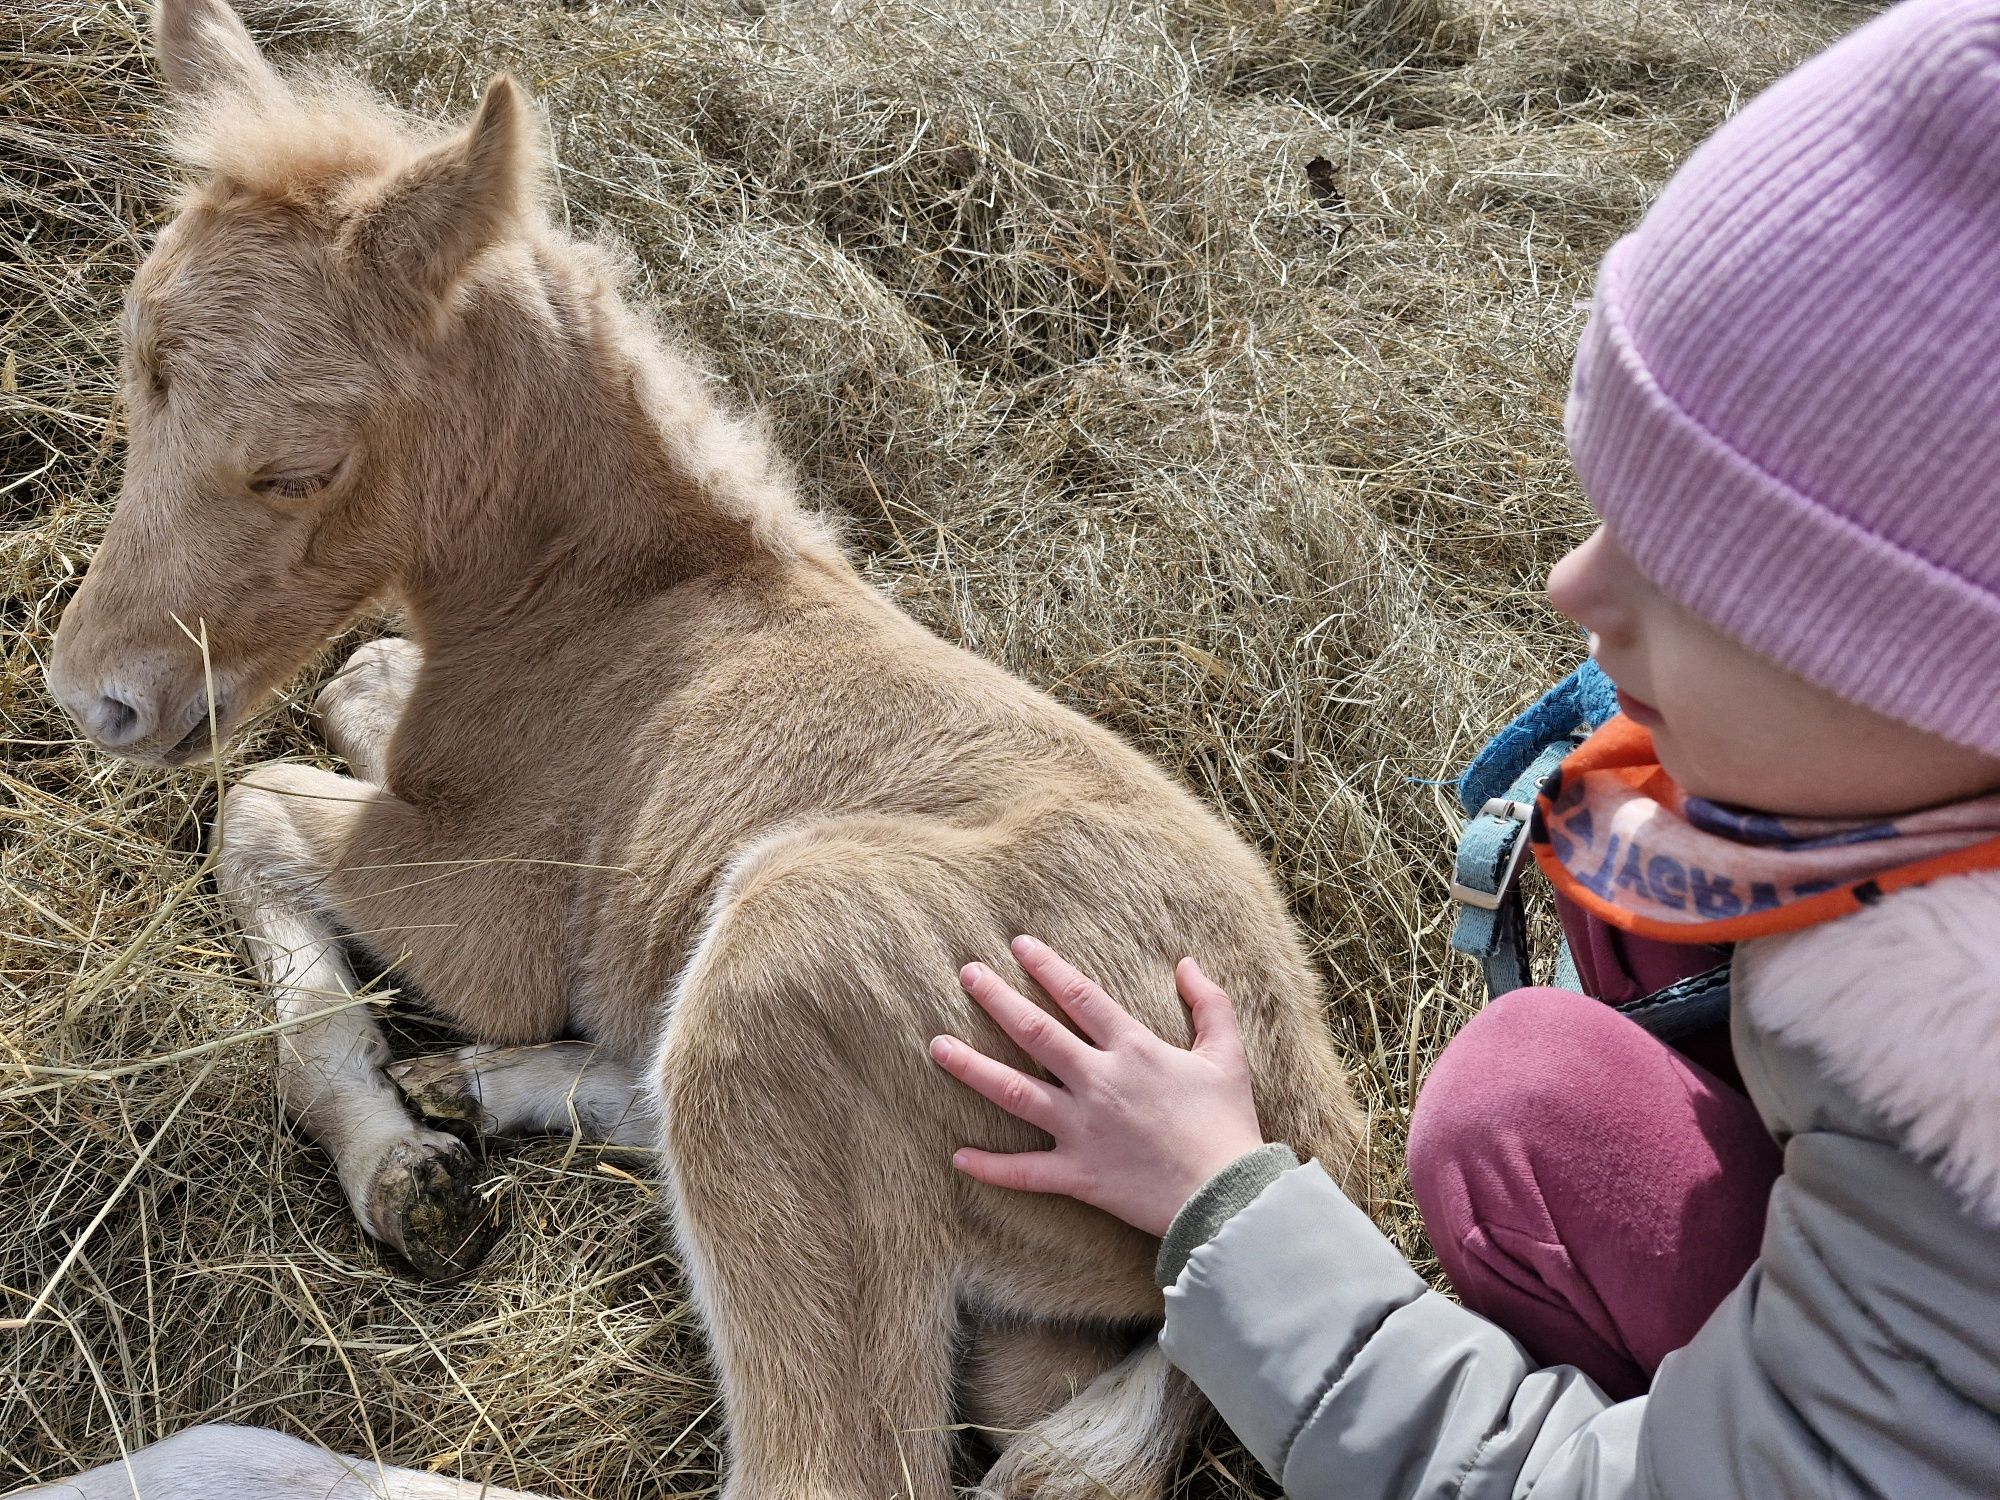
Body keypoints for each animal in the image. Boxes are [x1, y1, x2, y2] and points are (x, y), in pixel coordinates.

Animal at [47, 2, 1368, 1500]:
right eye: (132, 375)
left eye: (297, 467)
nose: (93, 697)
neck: (611, 605)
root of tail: (1306, 1134)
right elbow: (359, 688)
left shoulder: (479, 911)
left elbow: (257, 806)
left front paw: (394, 1171)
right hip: (1016, 1317)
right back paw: (480, 1088)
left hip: (796, 955)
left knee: (821, 1467)